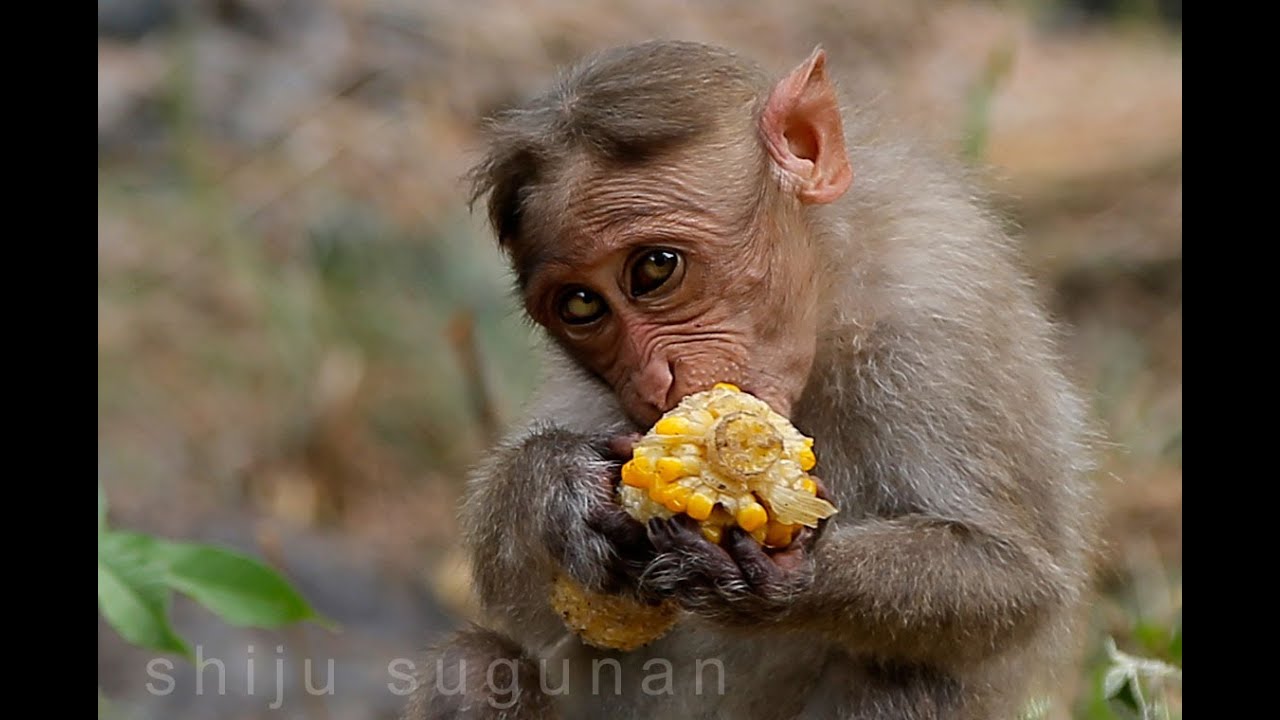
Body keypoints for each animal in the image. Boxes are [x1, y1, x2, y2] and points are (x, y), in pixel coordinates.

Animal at [404, 40, 1097, 720]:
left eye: (655, 268)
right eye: (581, 306)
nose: (653, 381)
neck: (828, 299)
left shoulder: (935, 313)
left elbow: (1014, 575)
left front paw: (777, 579)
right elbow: (520, 595)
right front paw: (557, 486)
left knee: (907, 677)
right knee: (477, 668)